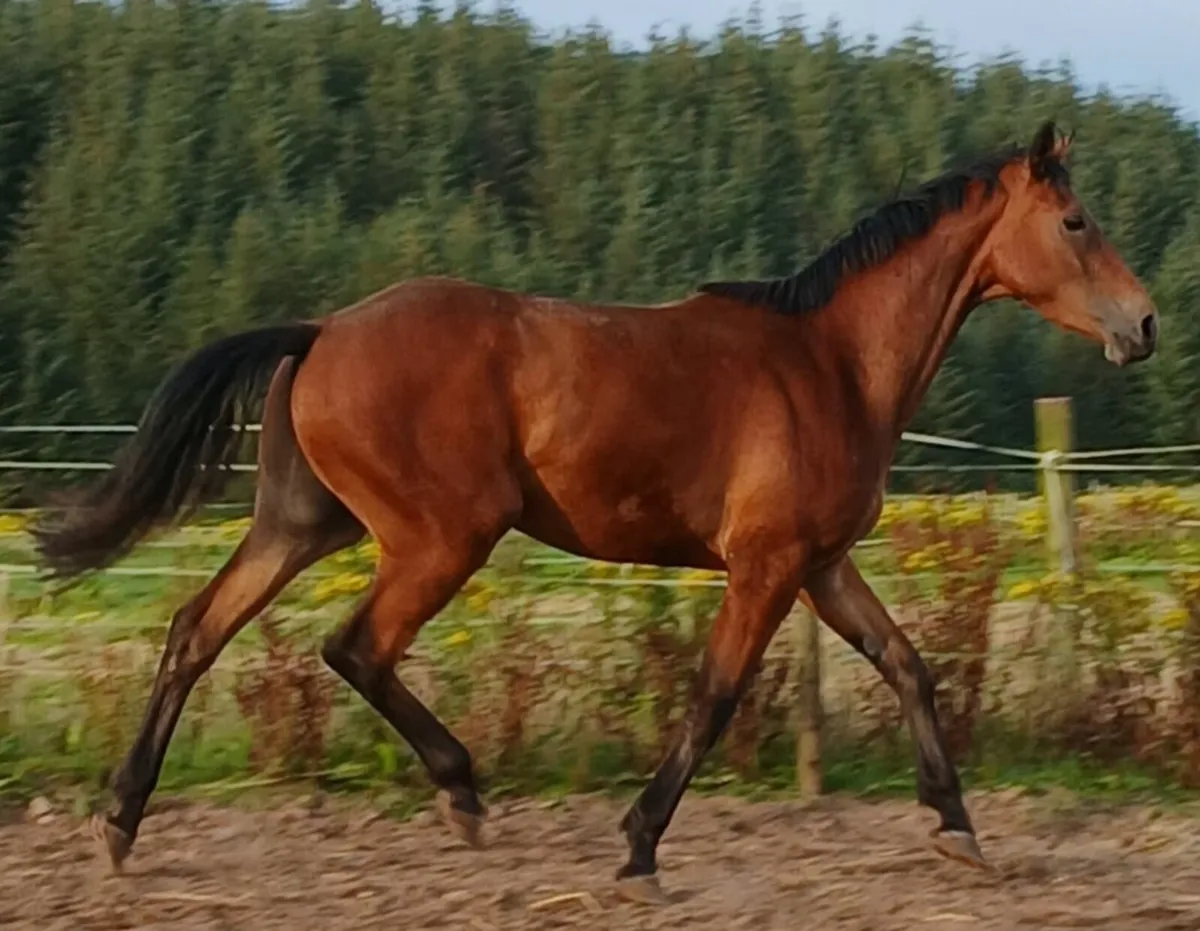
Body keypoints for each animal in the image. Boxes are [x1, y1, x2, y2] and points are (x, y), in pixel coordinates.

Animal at [32, 120, 1156, 900]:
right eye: (1076, 222)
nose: (1144, 324)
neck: (831, 364)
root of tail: (321, 330)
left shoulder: (822, 564)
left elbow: (909, 667)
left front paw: (959, 829)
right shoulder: (766, 563)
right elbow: (714, 695)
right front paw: (639, 848)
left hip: (303, 525)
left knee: (197, 629)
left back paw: (121, 822)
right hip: (442, 536)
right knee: (354, 646)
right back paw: (462, 793)